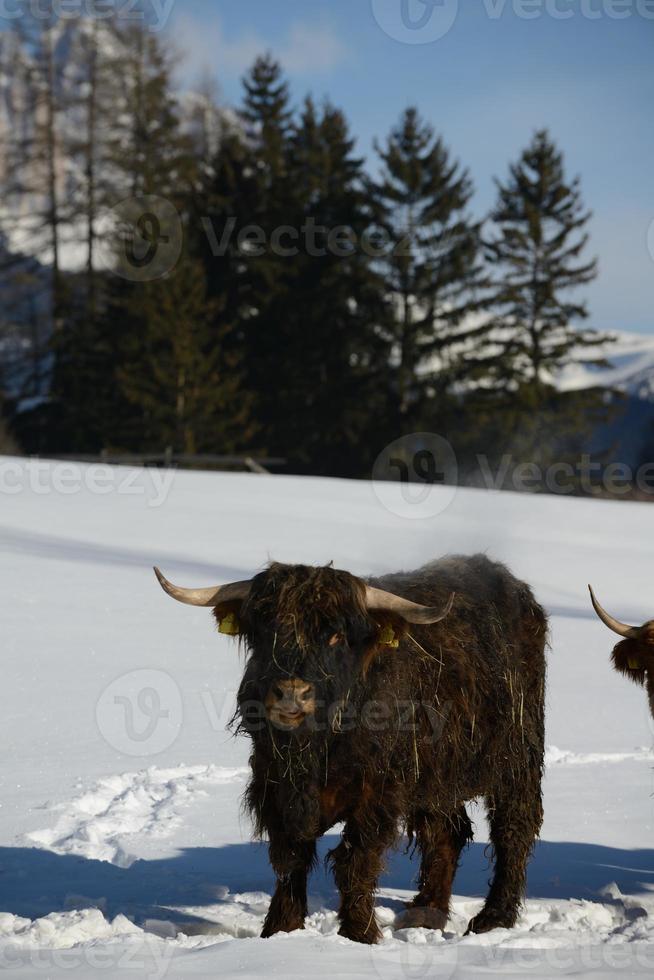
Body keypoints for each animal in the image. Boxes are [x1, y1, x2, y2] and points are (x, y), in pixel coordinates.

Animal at [154, 552, 548, 940]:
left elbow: (355, 861)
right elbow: (290, 858)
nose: (291, 693)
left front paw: (358, 933)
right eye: (265, 631)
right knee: (447, 832)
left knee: (513, 829)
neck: (316, 750)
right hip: (436, 774)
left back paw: (493, 918)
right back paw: (425, 913)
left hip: (517, 755)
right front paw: (280, 931)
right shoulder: (274, 786)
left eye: (336, 636)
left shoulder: (377, 795)